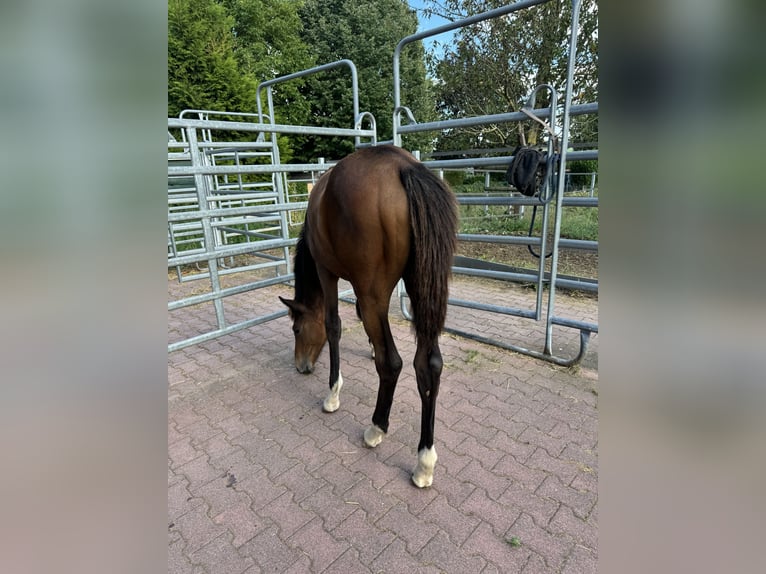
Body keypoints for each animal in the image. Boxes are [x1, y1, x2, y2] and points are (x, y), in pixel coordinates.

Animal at [282, 146, 462, 488]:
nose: (301, 366)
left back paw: (377, 427)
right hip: (419, 285)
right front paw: (367, 345)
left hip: (373, 293)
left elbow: (334, 326)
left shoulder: (327, 273)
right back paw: (424, 461)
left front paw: (333, 394)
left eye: (297, 329)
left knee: (391, 363)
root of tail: (404, 167)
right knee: (428, 365)